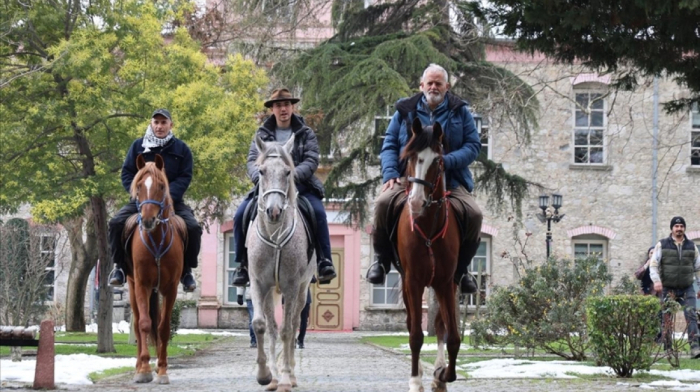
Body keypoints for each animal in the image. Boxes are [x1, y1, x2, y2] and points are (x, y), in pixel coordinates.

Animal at [126, 155, 185, 384]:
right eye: (139, 186)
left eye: (161, 186)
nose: (148, 220)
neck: (157, 239)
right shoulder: (142, 284)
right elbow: (144, 324)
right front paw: (144, 369)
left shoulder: (171, 288)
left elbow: (163, 327)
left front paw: (162, 370)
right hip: (132, 286)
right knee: (136, 325)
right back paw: (137, 367)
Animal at [245, 135, 314, 392]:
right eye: (261, 171)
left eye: (287, 172)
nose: (273, 212)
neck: (274, 237)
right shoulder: (258, 283)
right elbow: (261, 325)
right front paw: (265, 375)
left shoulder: (291, 286)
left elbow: (287, 330)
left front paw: (285, 379)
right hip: (269, 293)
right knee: (272, 328)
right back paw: (273, 377)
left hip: (302, 290)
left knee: (293, 326)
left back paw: (290, 375)